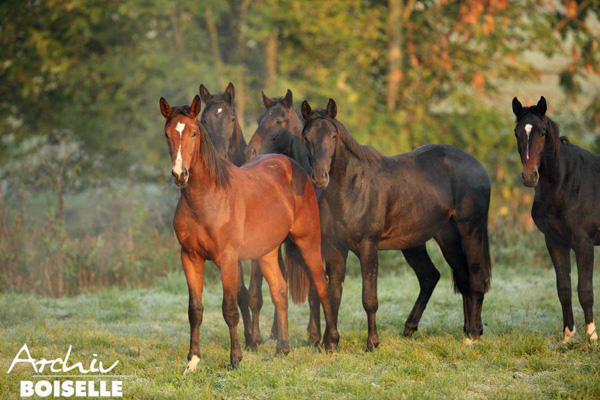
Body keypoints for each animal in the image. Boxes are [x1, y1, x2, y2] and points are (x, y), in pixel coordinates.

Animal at [158, 95, 338, 370]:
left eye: (194, 132)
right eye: (167, 134)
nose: (180, 174)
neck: (207, 199)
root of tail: (297, 169)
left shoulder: (228, 259)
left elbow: (230, 308)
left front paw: (236, 358)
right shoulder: (190, 257)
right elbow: (195, 310)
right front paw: (193, 361)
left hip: (308, 242)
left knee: (321, 285)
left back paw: (330, 342)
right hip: (266, 252)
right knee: (280, 291)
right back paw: (282, 348)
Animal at [512, 97, 596, 344]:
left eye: (541, 133)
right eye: (516, 133)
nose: (529, 177)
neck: (566, 184)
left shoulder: (583, 242)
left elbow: (585, 290)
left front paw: (592, 337)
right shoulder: (555, 241)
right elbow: (564, 288)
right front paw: (568, 336)